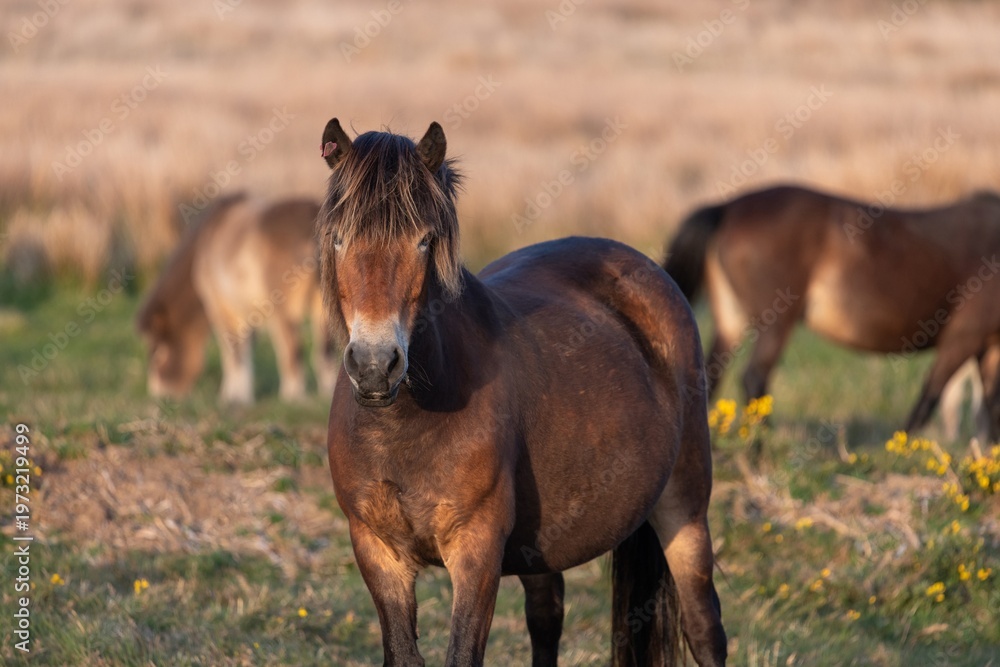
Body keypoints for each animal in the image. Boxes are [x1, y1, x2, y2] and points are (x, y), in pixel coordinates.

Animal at [137, 193, 337, 404]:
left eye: (156, 356)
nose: (159, 395)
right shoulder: (247, 310)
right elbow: (246, 348)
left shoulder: (220, 307)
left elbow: (231, 350)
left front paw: (233, 396)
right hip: (322, 309)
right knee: (325, 351)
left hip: (283, 312)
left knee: (291, 349)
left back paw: (292, 396)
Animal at [317, 118, 726, 667]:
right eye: (338, 238)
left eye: (424, 241)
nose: (375, 366)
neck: (406, 425)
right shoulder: (376, 549)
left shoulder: (477, 550)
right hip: (542, 547)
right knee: (546, 619)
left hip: (685, 508)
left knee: (704, 628)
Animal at [662, 184, 1000, 441]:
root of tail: (729, 208)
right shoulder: (965, 336)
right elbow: (929, 399)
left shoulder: (990, 346)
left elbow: (988, 407)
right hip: (776, 321)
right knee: (755, 378)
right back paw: (762, 448)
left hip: (730, 320)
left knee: (709, 377)